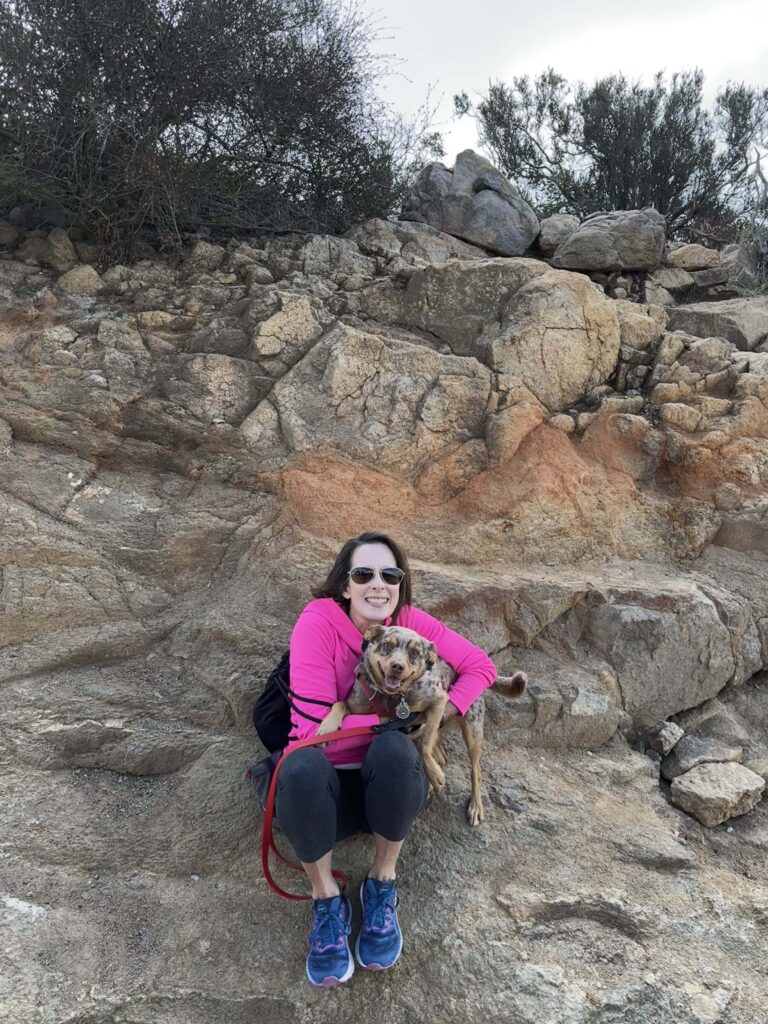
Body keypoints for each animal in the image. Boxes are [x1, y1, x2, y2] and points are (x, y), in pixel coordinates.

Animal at [315, 622, 528, 823]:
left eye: (415, 653)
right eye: (387, 645)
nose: (397, 666)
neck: (390, 697)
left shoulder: (438, 702)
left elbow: (425, 747)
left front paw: (435, 774)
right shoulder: (356, 705)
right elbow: (339, 704)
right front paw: (326, 728)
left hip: (472, 732)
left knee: (475, 771)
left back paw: (474, 804)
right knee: (442, 756)